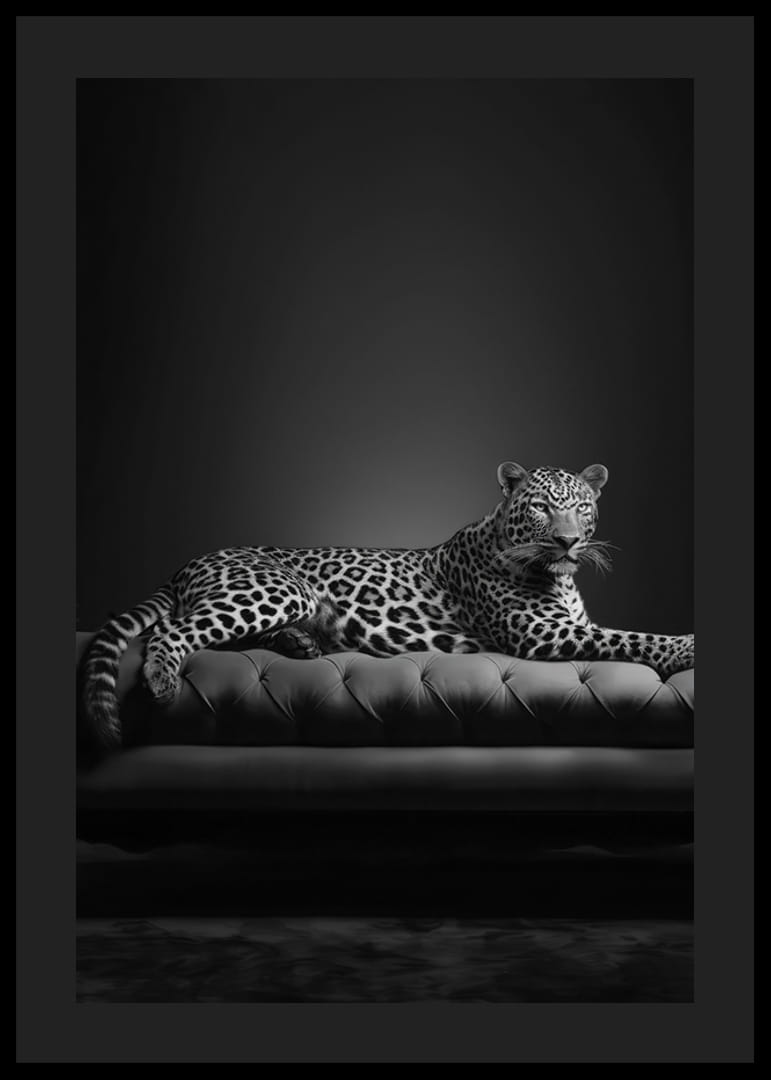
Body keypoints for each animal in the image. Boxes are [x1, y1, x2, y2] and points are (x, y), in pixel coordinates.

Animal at [81, 460, 694, 749]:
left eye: (582, 507)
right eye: (543, 507)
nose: (568, 542)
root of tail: (188, 563)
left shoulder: (566, 623)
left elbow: (625, 632)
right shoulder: (542, 633)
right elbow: (632, 637)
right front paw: (687, 646)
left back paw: (301, 643)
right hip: (276, 588)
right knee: (174, 632)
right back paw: (162, 679)